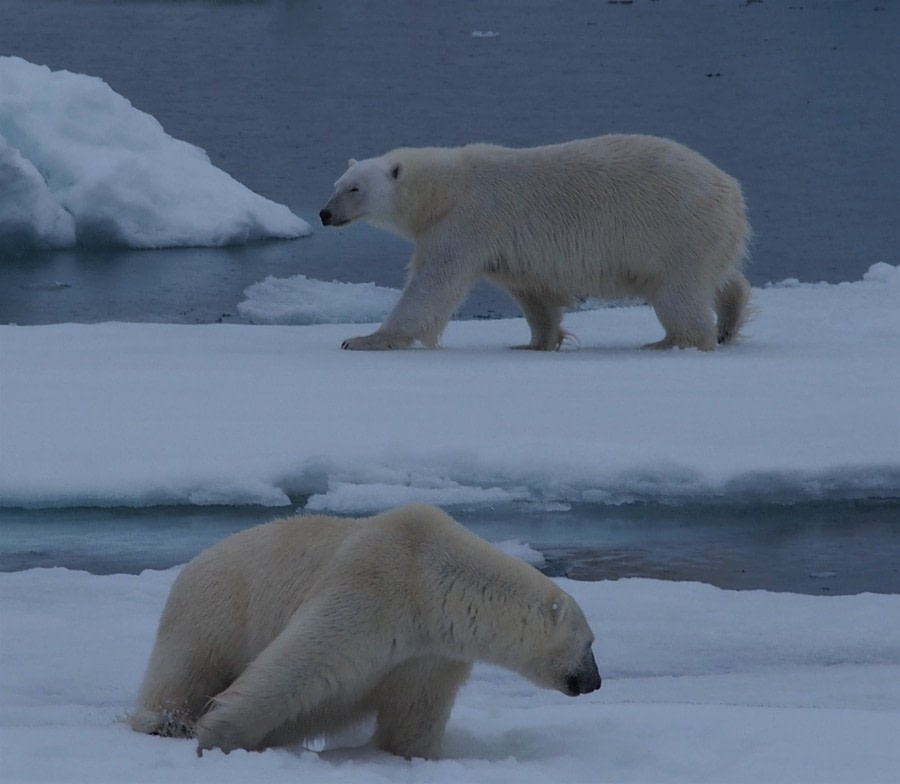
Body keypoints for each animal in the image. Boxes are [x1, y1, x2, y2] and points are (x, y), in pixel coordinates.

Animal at [130, 502, 600, 760]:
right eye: (590, 643)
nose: (595, 682)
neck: (432, 578)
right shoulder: (373, 586)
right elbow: (303, 661)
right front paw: (220, 735)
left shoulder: (431, 653)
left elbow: (415, 712)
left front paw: (414, 757)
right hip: (215, 608)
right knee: (185, 667)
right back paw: (166, 722)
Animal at [320, 136, 748, 352]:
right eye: (337, 184)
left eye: (355, 188)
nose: (324, 213)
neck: (445, 188)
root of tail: (731, 188)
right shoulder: (509, 245)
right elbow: (532, 292)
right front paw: (536, 343)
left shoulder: (468, 221)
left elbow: (432, 286)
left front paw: (362, 339)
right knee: (723, 276)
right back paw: (729, 321)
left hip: (676, 229)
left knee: (677, 293)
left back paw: (672, 342)